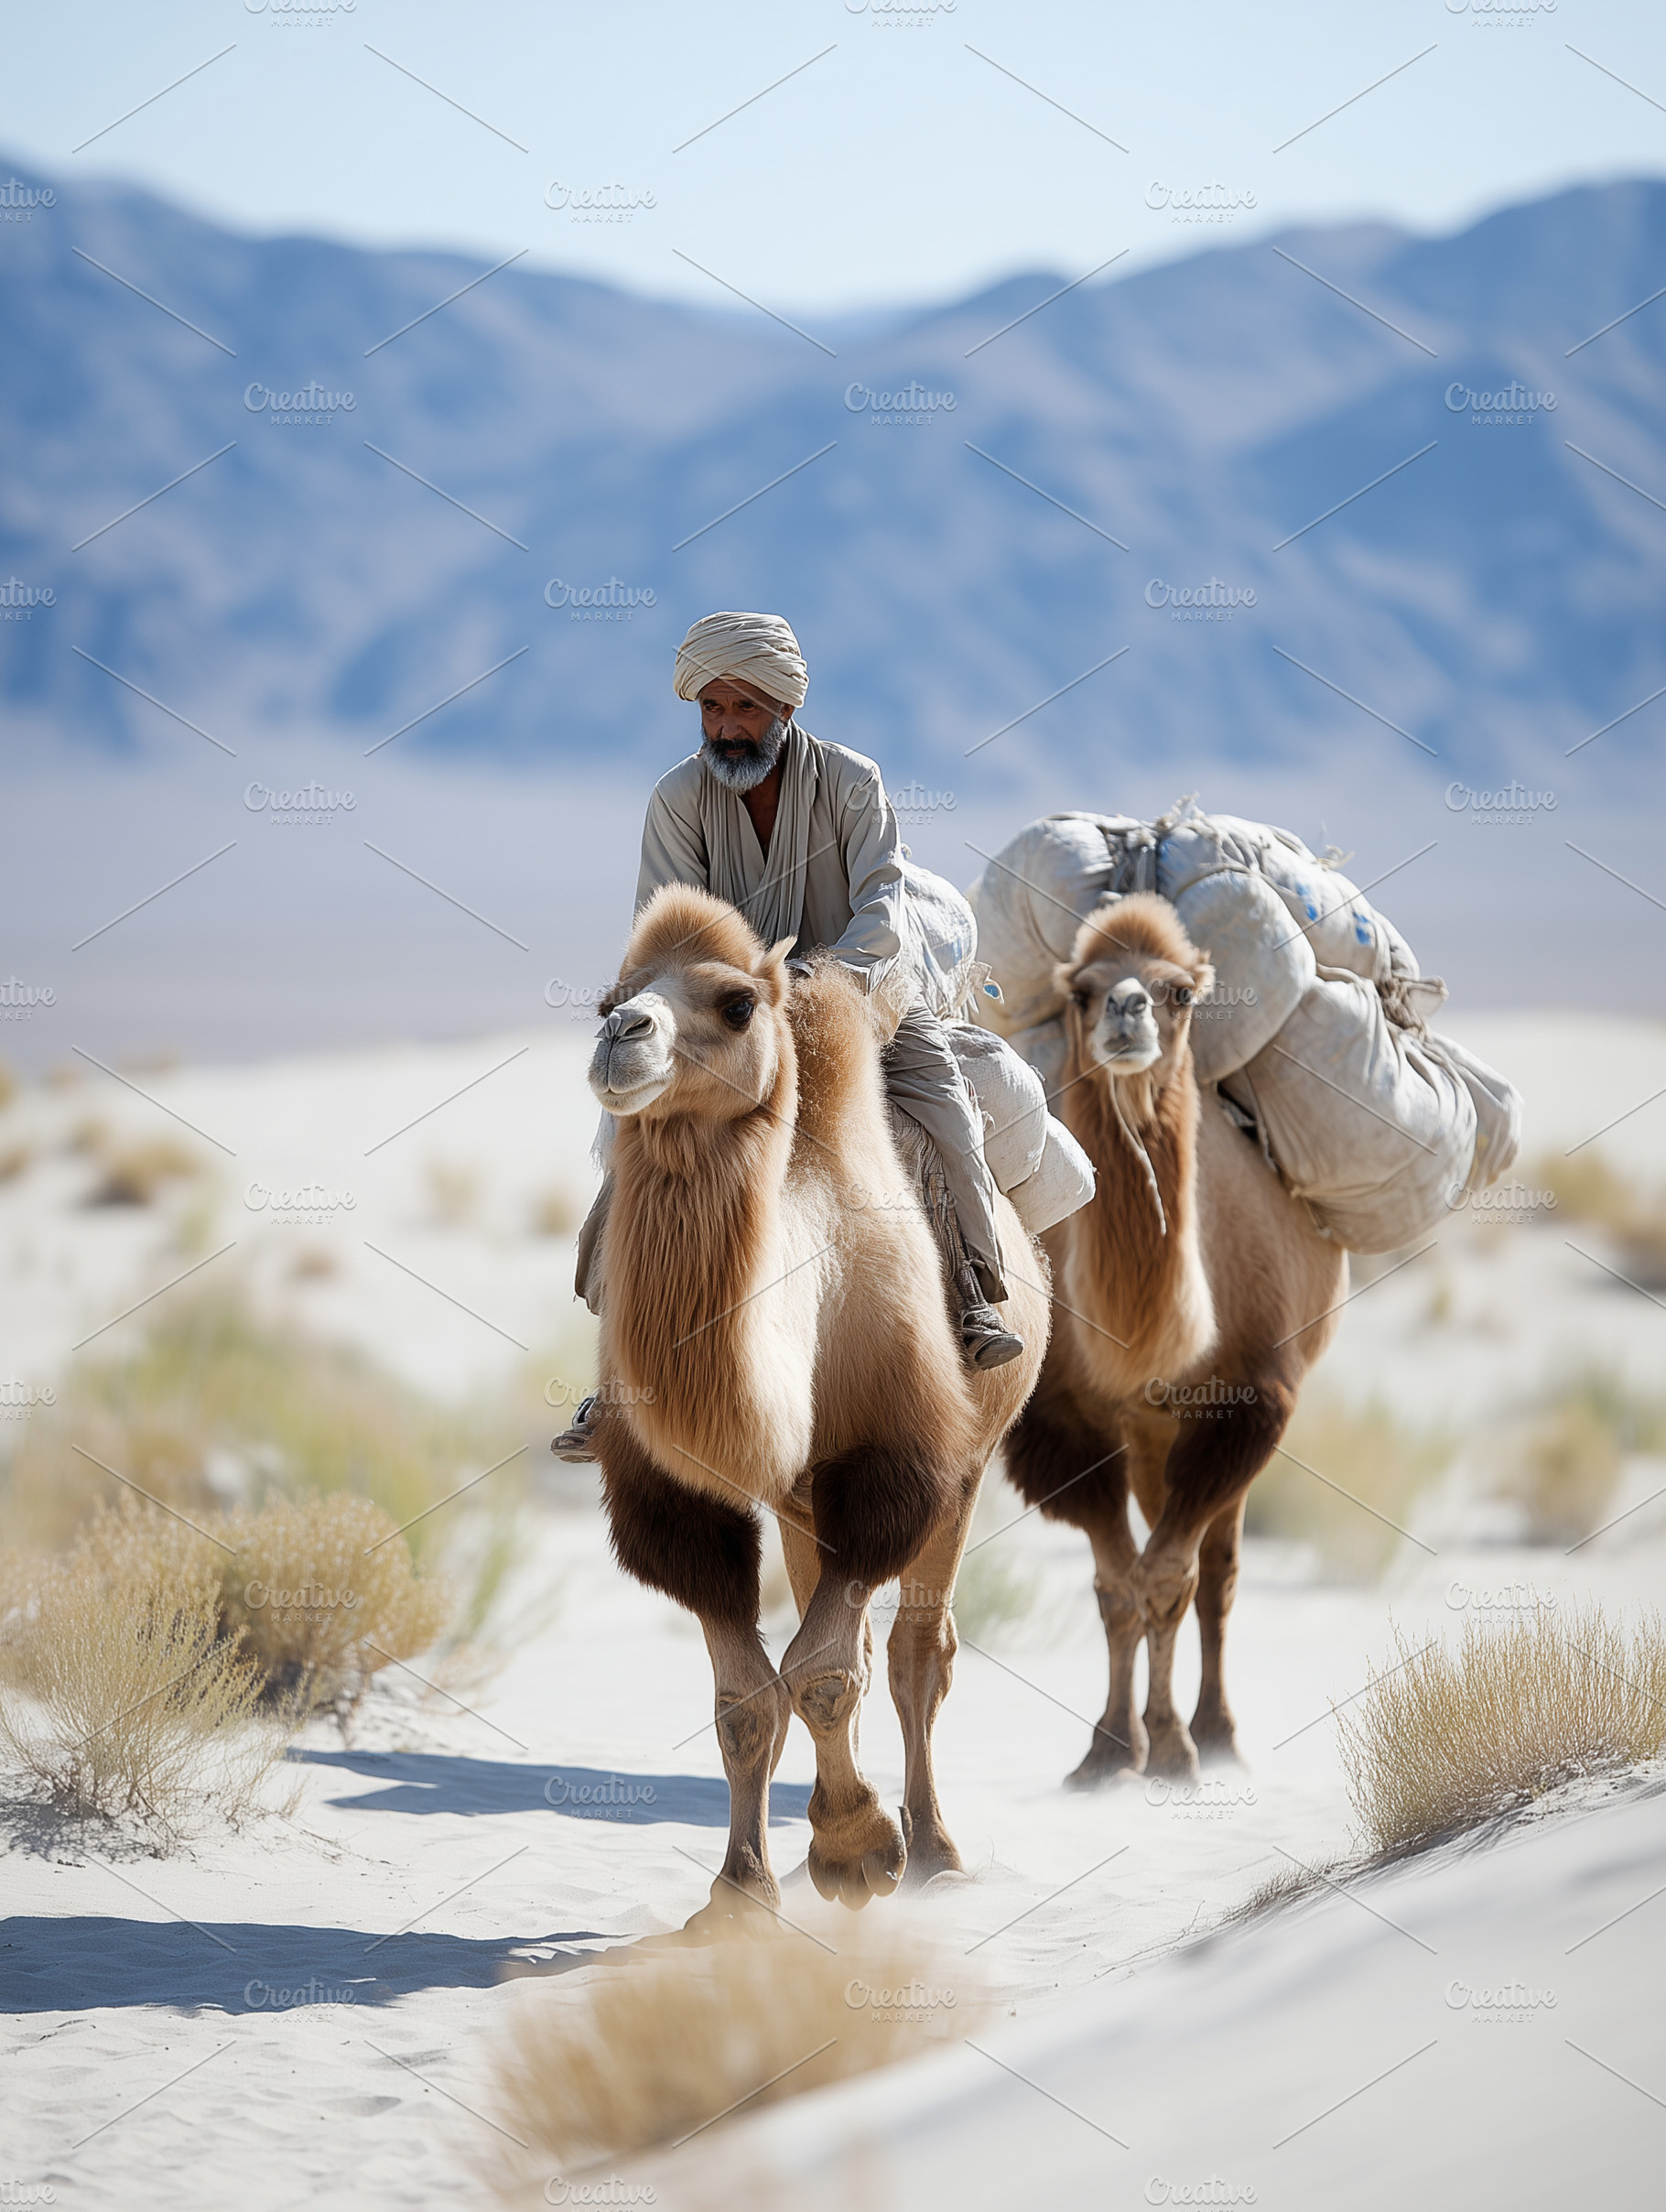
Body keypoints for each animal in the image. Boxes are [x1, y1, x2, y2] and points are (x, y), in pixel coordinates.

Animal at [583, 884, 1048, 1919]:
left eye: (733, 1004)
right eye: (608, 998)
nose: (620, 1037)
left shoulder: (894, 1462)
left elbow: (826, 1673)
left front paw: (859, 1846)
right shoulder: (681, 1495)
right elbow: (748, 1695)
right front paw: (742, 1890)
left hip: (965, 1463)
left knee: (916, 1652)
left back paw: (934, 1850)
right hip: (801, 1502)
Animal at [1006, 893, 1347, 1783]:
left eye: (1179, 993)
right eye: (1082, 991)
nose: (1126, 1012)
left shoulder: (1247, 1405)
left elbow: (1171, 1578)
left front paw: (1172, 1747)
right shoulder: (1066, 1425)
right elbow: (1116, 1587)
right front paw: (1107, 1751)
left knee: (1217, 1575)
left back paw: (1218, 1733)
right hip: (1150, 1438)